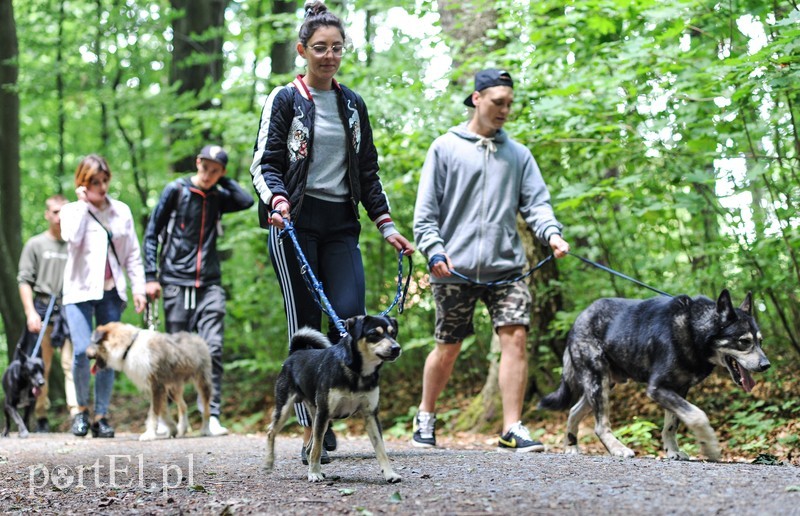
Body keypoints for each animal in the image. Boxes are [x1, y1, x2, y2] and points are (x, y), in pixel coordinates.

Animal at [268, 314, 404, 484]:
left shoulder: (371, 415)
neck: (357, 372)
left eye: (393, 334)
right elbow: (317, 448)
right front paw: (314, 473)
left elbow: (381, 448)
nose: (396, 348)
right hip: (286, 410)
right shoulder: (324, 413)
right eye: (374, 334)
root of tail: (295, 353)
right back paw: (269, 462)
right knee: (272, 433)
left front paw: (390, 474)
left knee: (310, 445)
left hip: (316, 416)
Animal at [540, 288, 772, 462]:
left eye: (761, 341)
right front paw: (709, 446)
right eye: (744, 342)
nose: (766, 365)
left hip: (602, 386)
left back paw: (571, 446)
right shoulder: (657, 388)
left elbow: (671, 425)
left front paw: (673, 451)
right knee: (600, 425)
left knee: (573, 411)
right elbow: (698, 415)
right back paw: (617, 448)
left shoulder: (679, 390)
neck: (693, 329)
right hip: (598, 382)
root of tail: (575, 323)